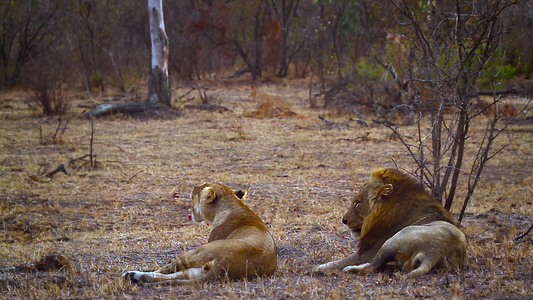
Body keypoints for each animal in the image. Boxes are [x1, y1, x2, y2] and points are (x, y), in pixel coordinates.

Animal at [122, 184, 276, 284]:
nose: (193, 188)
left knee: (168, 269)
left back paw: (131, 275)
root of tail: (224, 265)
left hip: (198, 252)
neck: (234, 205)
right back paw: (133, 276)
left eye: (200, 188)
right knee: (176, 275)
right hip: (200, 268)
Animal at [316, 168, 466, 278]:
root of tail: (435, 251)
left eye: (357, 203)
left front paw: (322, 267)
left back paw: (349, 269)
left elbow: (341, 261)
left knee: (371, 266)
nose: (344, 220)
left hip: (395, 238)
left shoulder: (367, 253)